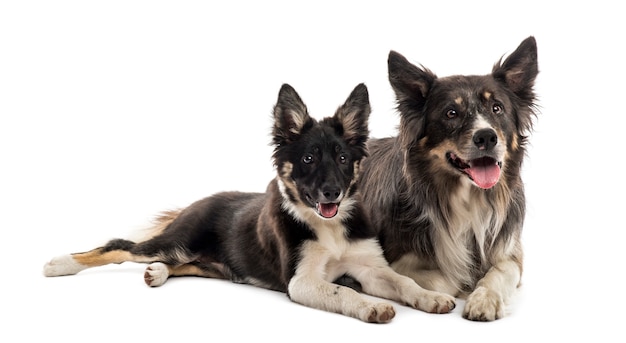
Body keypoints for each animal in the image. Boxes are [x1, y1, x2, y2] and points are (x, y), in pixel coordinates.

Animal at [45, 82, 454, 322]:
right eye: (308, 159)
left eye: (341, 158)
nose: (332, 193)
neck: (327, 227)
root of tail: (199, 201)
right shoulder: (301, 280)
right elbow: (342, 290)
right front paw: (371, 306)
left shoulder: (370, 267)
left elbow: (404, 281)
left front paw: (431, 297)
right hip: (179, 239)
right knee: (120, 246)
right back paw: (60, 263)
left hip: (211, 264)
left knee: (177, 265)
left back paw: (157, 273)